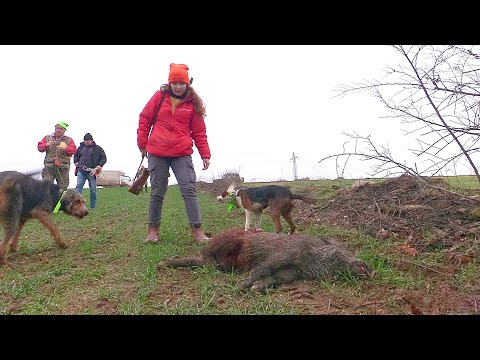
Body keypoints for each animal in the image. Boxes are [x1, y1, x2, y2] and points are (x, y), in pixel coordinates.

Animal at [158, 228, 376, 292]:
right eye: (344, 248)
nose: (373, 271)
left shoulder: (291, 273)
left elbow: (273, 279)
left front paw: (255, 289)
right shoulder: (283, 254)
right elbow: (262, 270)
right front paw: (242, 286)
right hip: (230, 241)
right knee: (204, 257)